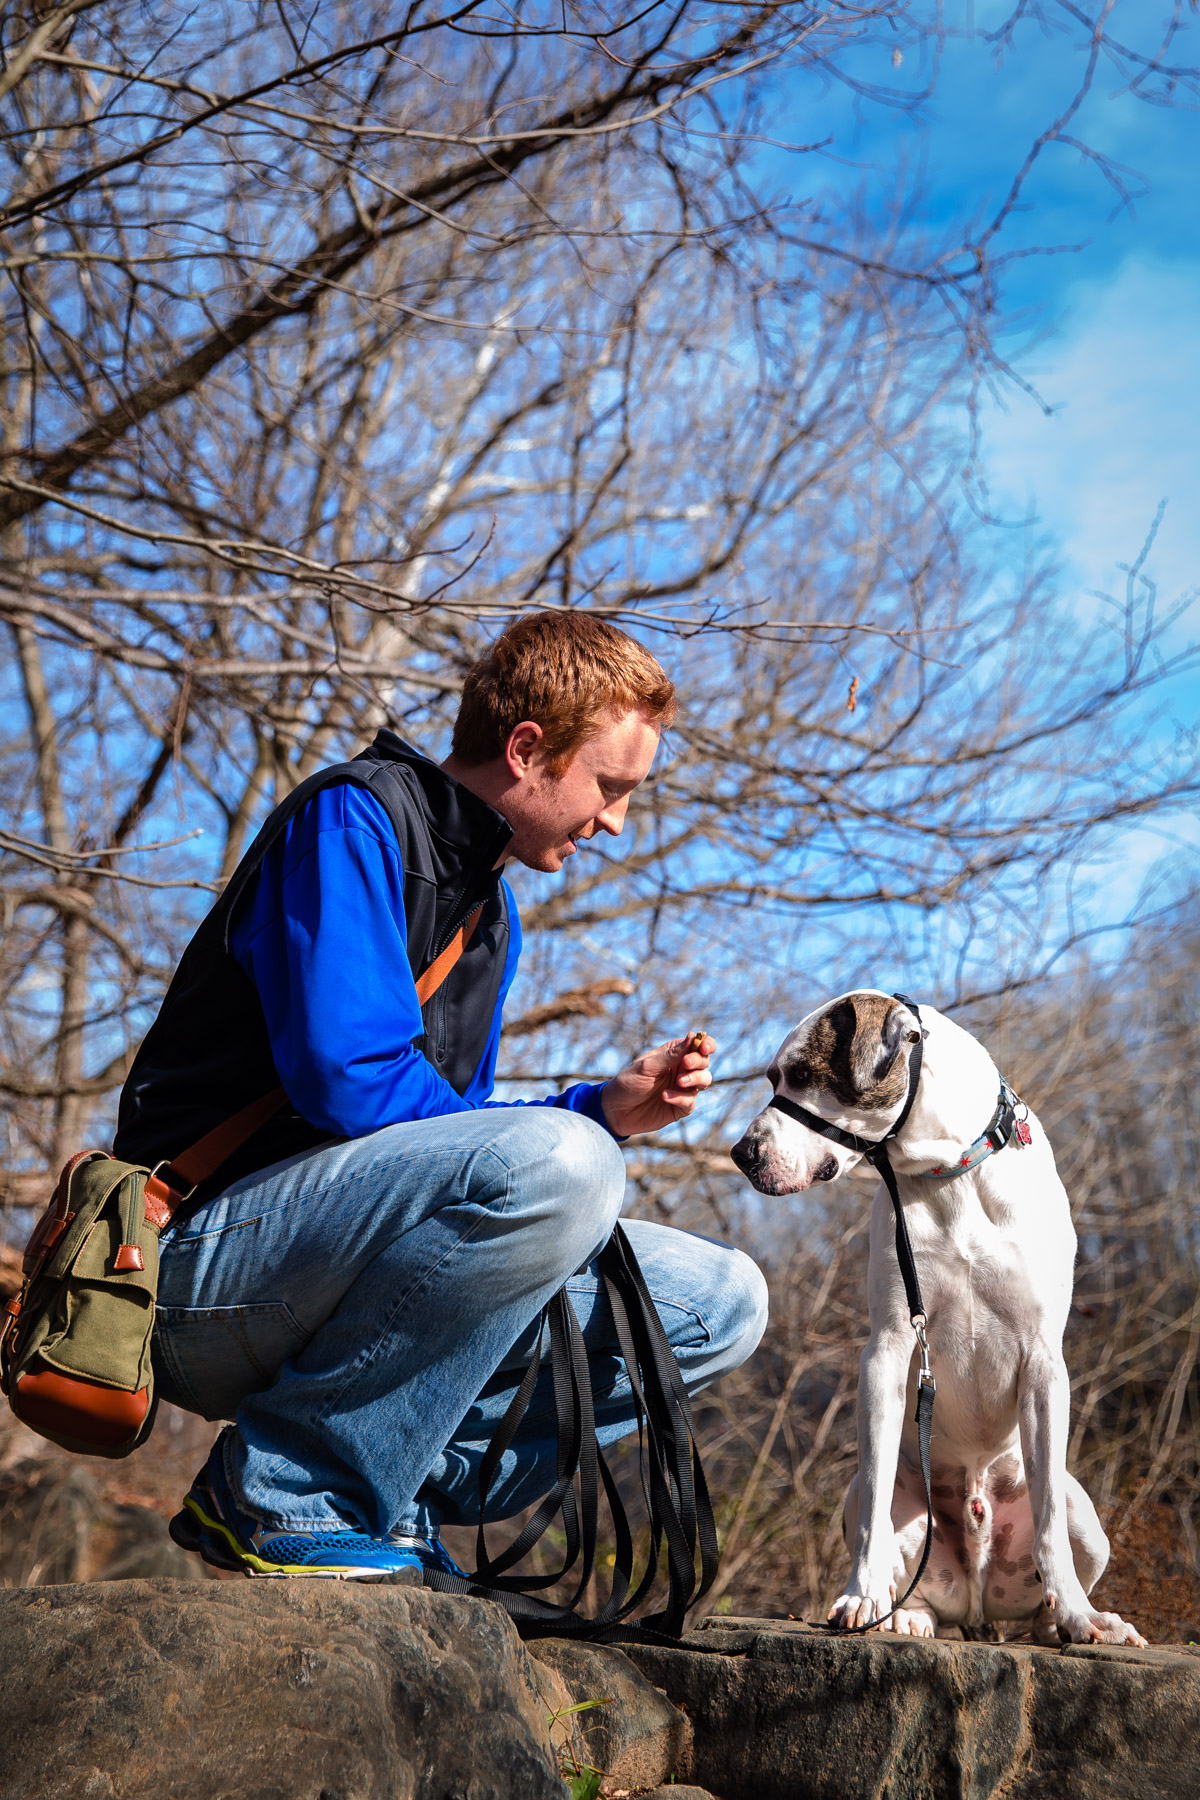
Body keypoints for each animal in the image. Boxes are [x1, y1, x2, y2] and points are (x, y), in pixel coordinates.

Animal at [734, 993, 1144, 1648]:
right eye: (775, 1077)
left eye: (799, 1074)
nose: (741, 1154)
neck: (951, 1173)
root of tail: (977, 1600)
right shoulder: (889, 1347)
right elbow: (875, 1506)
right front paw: (861, 1595)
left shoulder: (1044, 1361)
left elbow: (1049, 1519)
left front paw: (1081, 1617)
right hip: (873, 1501)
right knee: (902, 1552)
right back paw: (904, 1615)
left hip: (1087, 1521)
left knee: (1051, 1549)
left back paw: (1058, 1621)